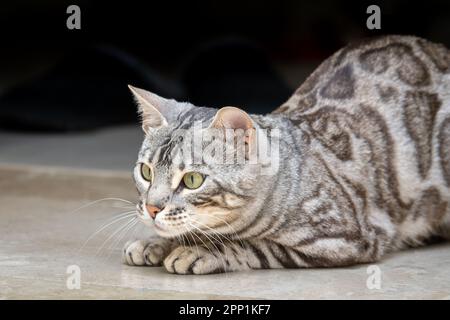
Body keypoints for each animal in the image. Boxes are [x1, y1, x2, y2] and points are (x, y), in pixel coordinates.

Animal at [122, 35, 450, 276]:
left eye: (192, 180)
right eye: (146, 171)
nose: (151, 208)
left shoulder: (341, 238)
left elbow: (253, 244)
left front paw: (198, 249)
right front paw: (155, 243)